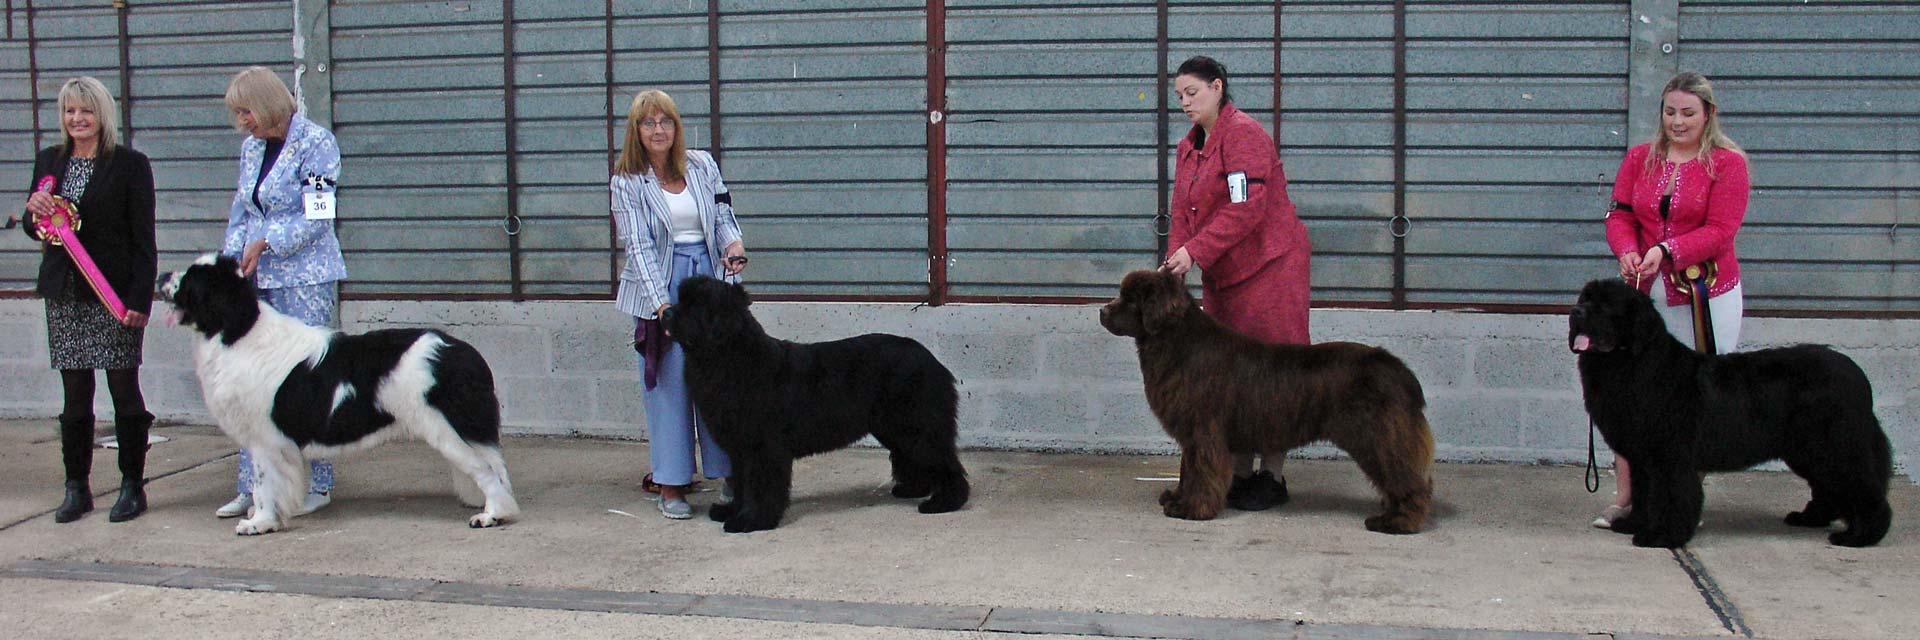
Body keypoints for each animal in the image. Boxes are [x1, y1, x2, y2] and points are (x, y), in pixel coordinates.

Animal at [157, 253, 518, 534]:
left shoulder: (265, 439)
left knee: (486, 471)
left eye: (190, 280)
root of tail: (465, 354)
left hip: (447, 428)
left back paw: (490, 516)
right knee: (497, 468)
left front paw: (259, 523)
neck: (236, 330)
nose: (161, 275)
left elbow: (262, 484)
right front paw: (270, 519)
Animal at [660, 274, 967, 526]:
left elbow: (759, 485)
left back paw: (945, 502)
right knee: (913, 457)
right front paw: (732, 511)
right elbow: (740, 483)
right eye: (681, 298)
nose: (666, 314)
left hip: (916, 425)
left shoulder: (763, 447)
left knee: (941, 459)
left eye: (697, 306)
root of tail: (933, 361)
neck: (731, 357)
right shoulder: (739, 448)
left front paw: (752, 520)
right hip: (894, 428)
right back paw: (913, 489)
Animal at [1105, 267, 1436, 530]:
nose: (1102, 311)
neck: (1176, 344)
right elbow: (1188, 470)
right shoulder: (1192, 435)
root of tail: (1396, 367)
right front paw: (1176, 498)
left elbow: (1201, 471)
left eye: (1131, 299)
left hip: (1378, 435)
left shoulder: (1203, 430)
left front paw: (1192, 509)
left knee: (1407, 478)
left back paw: (1397, 521)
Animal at [1574, 276, 1889, 545]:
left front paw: (1662, 536)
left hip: (1834, 446)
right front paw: (1634, 524)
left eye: (1606, 305)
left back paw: (1861, 536)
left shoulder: (1670, 458)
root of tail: (1859, 377)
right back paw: (1810, 518)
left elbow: (1670, 496)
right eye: (1585, 298)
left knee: (1862, 486)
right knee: (1828, 487)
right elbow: (1643, 494)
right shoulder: (1642, 459)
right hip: (1808, 451)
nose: (1576, 312)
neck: (1633, 363)